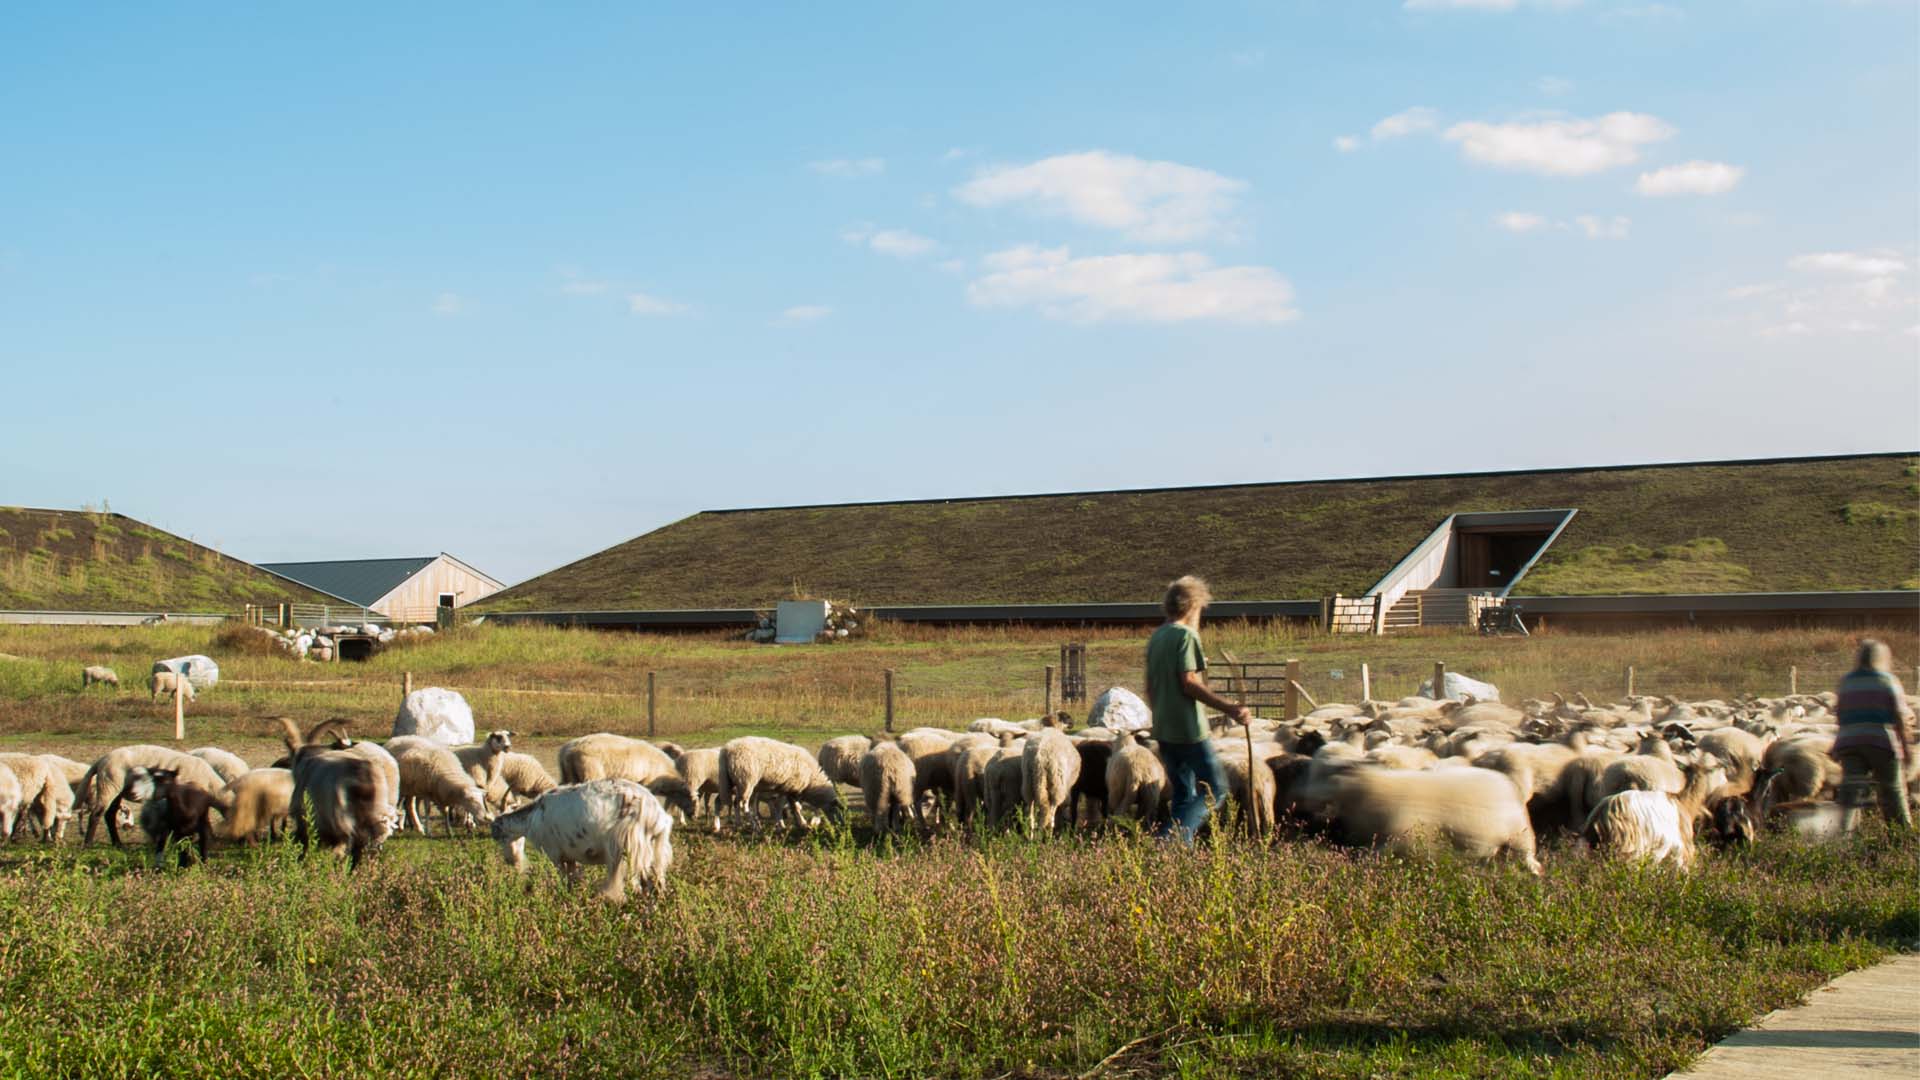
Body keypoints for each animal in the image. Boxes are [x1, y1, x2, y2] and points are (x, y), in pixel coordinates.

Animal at [491, 772, 672, 899]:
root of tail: (657, 815)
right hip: (652, 849)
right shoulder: (569, 856)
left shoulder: (554, 854)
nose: (509, 860)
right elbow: (573, 880)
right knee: (657, 883)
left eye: (499, 835)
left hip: (634, 847)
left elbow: (564, 880)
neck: (533, 816)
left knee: (645, 884)